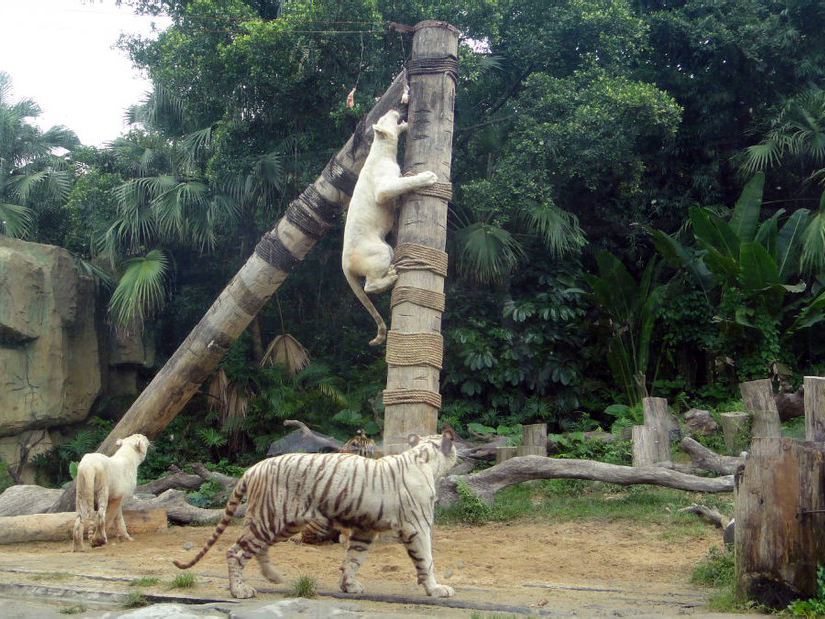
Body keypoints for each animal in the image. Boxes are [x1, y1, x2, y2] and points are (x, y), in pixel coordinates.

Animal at [172, 429, 457, 600]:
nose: (456, 451)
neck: (423, 458)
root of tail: (255, 467)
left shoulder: (364, 529)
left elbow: (353, 558)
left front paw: (349, 586)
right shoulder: (417, 526)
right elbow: (426, 560)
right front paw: (436, 589)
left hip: (283, 523)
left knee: (258, 548)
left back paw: (273, 577)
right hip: (271, 518)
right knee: (236, 551)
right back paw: (239, 590)